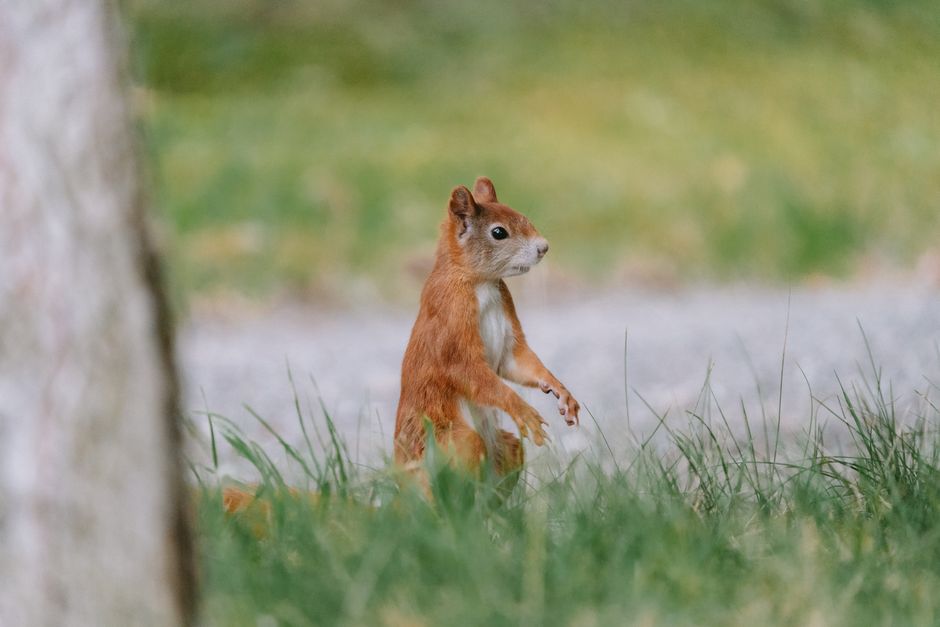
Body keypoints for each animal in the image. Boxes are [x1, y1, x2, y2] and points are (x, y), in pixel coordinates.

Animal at [394, 177, 580, 479]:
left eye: (523, 215)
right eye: (498, 232)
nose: (544, 247)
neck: (482, 283)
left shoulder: (506, 318)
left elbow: (516, 361)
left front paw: (559, 389)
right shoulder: (451, 317)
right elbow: (468, 372)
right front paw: (522, 410)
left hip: (508, 449)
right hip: (452, 439)